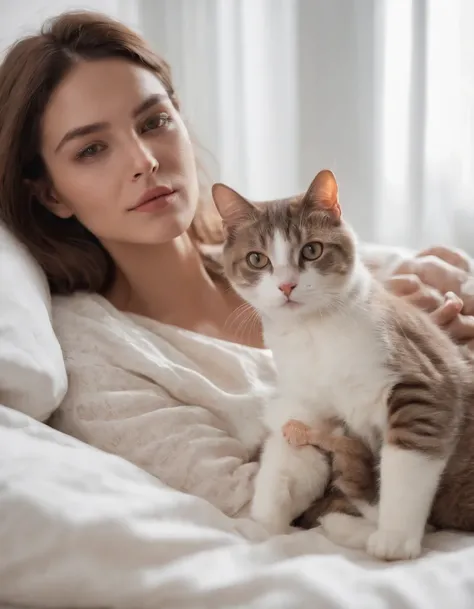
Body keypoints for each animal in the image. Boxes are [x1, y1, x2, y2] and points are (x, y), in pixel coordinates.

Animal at [213, 169, 474, 560]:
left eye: (311, 250)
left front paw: (395, 538)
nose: (287, 286)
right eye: (257, 259)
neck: (315, 334)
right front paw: (263, 525)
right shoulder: (308, 405)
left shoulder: (425, 382)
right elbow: (293, 458)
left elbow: (407, 462)